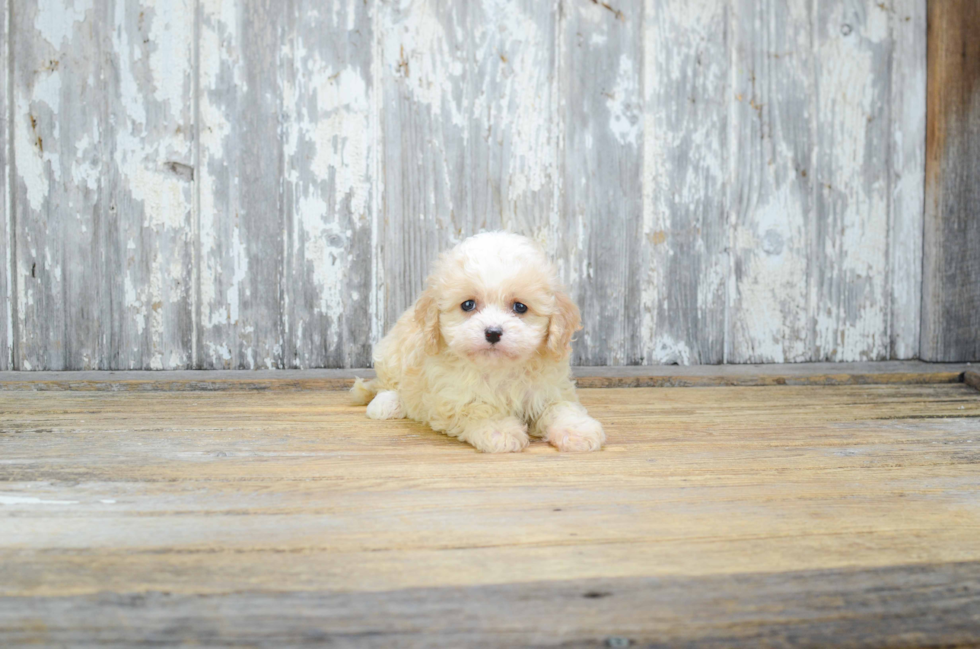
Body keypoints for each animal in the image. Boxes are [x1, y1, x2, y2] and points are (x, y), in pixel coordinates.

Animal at [348, 230, 600, 454]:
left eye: (520, 307)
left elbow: (561, 408)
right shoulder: (452, 398)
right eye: (468, 305)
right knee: (386, 383)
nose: (493, 332)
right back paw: (386, 404)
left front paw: (579, 430)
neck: (499, 369)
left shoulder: (550, 390)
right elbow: (478, 410)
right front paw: (501, 431)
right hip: (391, 351)